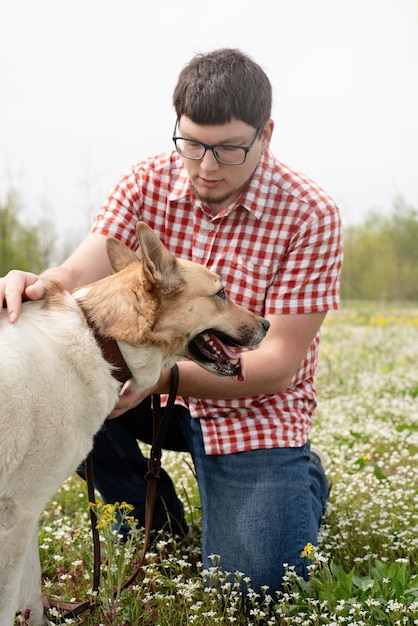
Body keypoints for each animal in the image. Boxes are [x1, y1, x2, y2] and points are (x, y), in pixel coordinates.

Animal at [0, 222, 270, 620]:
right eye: (221, 292)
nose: (267, 324)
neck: (101, 338)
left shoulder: (26, 515)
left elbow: (33, 598)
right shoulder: (16, 515)